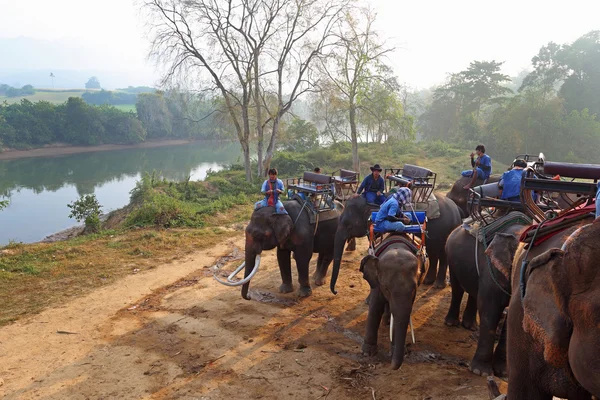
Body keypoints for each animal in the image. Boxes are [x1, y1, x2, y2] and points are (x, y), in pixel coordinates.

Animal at [358, 242, 428, 370]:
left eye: (414, 290)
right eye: (386, 288)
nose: (390, 365)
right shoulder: (377, 282)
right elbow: (375, 308)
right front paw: (367, 353)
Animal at [442, 220, 528, 376]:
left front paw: (503, 373)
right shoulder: (492, 270)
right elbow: (489, 308)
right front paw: (480, 372)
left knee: (473, 293)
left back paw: (470, 326)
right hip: (451, 257)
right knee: (458, 289)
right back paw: (451, 323)